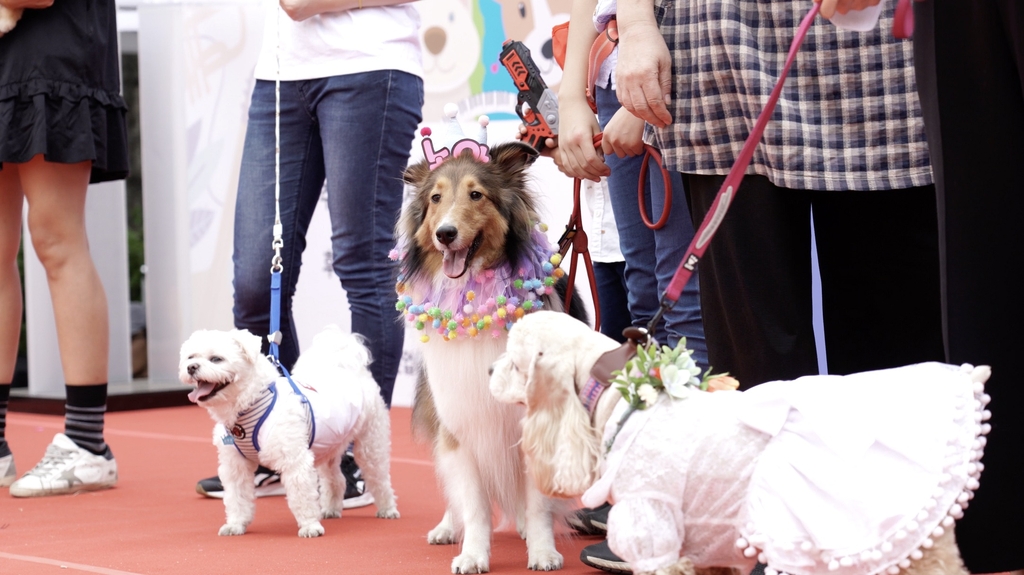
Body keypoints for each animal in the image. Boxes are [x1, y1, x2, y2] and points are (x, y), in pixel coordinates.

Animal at [178, 325, 397, 536]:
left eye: (217, 359)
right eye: (191, 357)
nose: (191, 367)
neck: (251, 401)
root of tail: (351, 370)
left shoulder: (295, 461)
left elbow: (302, 497)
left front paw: (309, 526)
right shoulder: (235, 467)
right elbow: (237, 499)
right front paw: (236, 525)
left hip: (371, 445)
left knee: (379, 479)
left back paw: (387, 509)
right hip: (329, 447)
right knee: (336, 480)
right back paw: (331, 509)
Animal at [393, 140, 585, 572]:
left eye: (476, 194)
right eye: (435, 198)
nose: (445, 234)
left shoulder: (537, 424)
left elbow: (538, 504)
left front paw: (543, 551)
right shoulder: (462, 423)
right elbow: (474, 504)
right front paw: (473, 554)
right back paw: (447, 528)